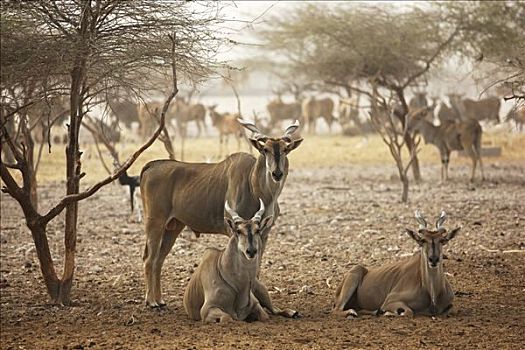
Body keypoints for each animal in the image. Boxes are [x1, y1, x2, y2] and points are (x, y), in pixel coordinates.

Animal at [139, 118, 302, 318]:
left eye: (286, 149)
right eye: (265, 150)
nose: (276, 173)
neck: (254, 185)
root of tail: (150, 166)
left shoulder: (262, 235)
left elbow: (256, 270)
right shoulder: (233, 230)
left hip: (173, 227)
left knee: (159, 260)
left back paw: (160, 300)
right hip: (155, 222)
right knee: (150, 259)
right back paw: (152, 302)